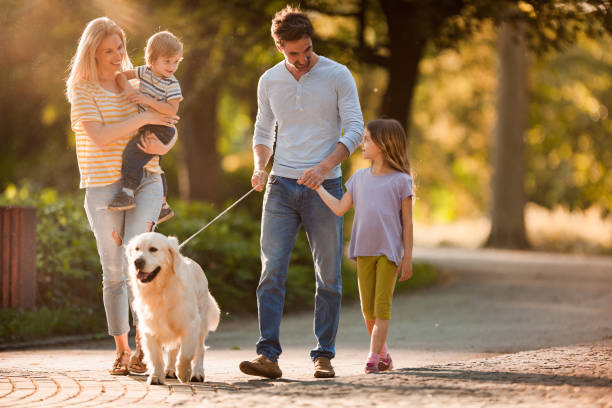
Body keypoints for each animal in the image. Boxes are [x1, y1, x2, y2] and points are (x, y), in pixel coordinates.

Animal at [125, 231, 220, 384]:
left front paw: (184, 372)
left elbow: (186, 354)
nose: (137, 262)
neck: (160, 290)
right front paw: (156, 376)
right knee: (173, 350)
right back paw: (169, 370)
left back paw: (197, 373)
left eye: (153, 249)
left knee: (200, 349)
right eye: (136, 249)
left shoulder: (190, 324)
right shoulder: (150, 328)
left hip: (202, 322)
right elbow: (156, 357)